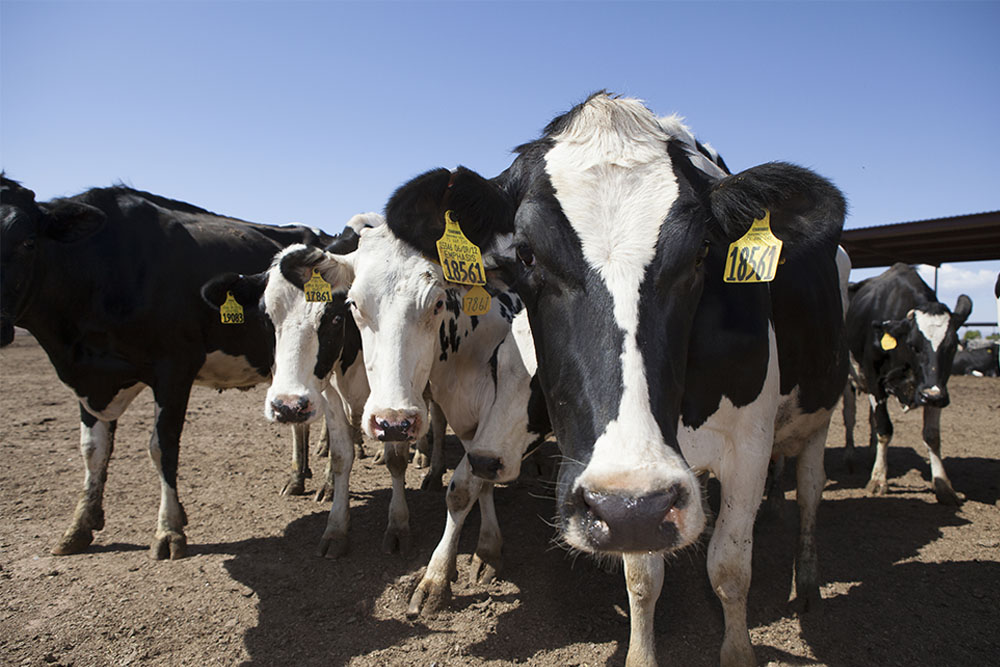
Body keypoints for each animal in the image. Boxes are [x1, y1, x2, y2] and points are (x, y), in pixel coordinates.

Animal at [0, 176, 332, 560]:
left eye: (28, 241)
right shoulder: (90, 377)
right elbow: (92, 449)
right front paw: (80, 524)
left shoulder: (174, 369)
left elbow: (162, 446)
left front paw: (169, 529)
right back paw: (297, 477)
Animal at [286, 222, 552, 608]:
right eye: (354, 304)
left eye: (438, 301)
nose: (394, 421)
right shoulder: (474, 425)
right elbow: (478, 483)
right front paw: (487, 549)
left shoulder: (501, 416)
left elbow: (463, 489)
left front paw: (438, 576)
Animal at [378, 94, 848, 667]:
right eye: (525, 253)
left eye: (702, 252)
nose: (631, 503)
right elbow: (643, 576)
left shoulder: (747, 447)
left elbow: (730, 569)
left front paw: (737, 651)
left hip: (819, 414)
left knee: (811, 491)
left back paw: (807, 580)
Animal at [840, 264, 972, 504]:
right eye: (914, 345)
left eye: (951, 345)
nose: (932, 396)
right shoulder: (874, 378)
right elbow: (884, 428)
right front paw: (878, 480)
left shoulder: (935, 385)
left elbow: (932, 435)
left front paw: (943, 485)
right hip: (849, 380)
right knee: (850, 417)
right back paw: (850, 456)